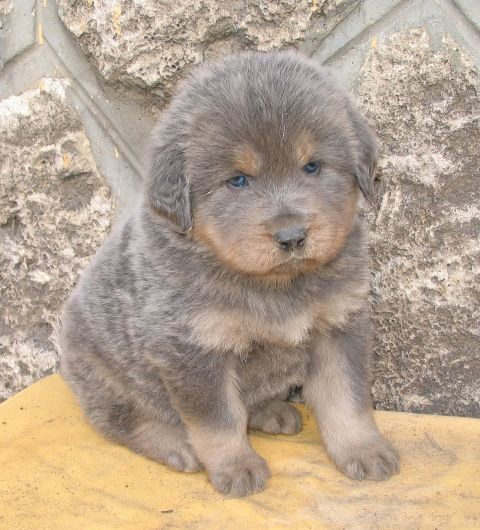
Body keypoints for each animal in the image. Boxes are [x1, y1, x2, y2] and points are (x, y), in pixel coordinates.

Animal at [59, 49, 398, 496]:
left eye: (312, 167)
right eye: (237, 180)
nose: (291, 236)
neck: (272, 285)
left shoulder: (339, 325)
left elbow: (347, 399)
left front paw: (363, 449)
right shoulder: (192, 348)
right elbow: (218, 422)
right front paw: (236, 467)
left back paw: (271, 410)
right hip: (105, 377)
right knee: (126, 421)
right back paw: (176, 446)